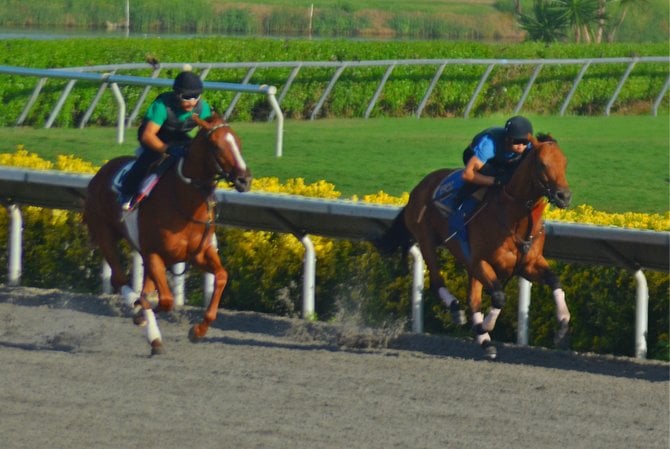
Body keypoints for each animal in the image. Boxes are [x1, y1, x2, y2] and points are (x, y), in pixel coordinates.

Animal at [83, 112, 252, 354]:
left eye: (238, 142)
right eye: (216, 146)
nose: (244, 180)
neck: (184, 201)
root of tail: (100, 173)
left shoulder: (199, 253)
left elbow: (221, 276)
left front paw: (198, 331)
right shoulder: (154, 253)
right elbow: (165, 301)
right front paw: (140, 313)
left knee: (143, 288)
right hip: (105, 232)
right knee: (119, 279)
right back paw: (147, 325)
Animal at [378, 132, 572, 356]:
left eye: (564, 162)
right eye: (542, 163)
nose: (564, 196)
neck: (515, 217)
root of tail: (419, 187)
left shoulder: (528, 264)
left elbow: (555, 280)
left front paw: (562, 324)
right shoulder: (480, 261)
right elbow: (499, 296)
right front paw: (485, 326)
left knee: (473, 300)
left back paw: (485, 342)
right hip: (426, 239)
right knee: (437, 281)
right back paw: (458, 311)